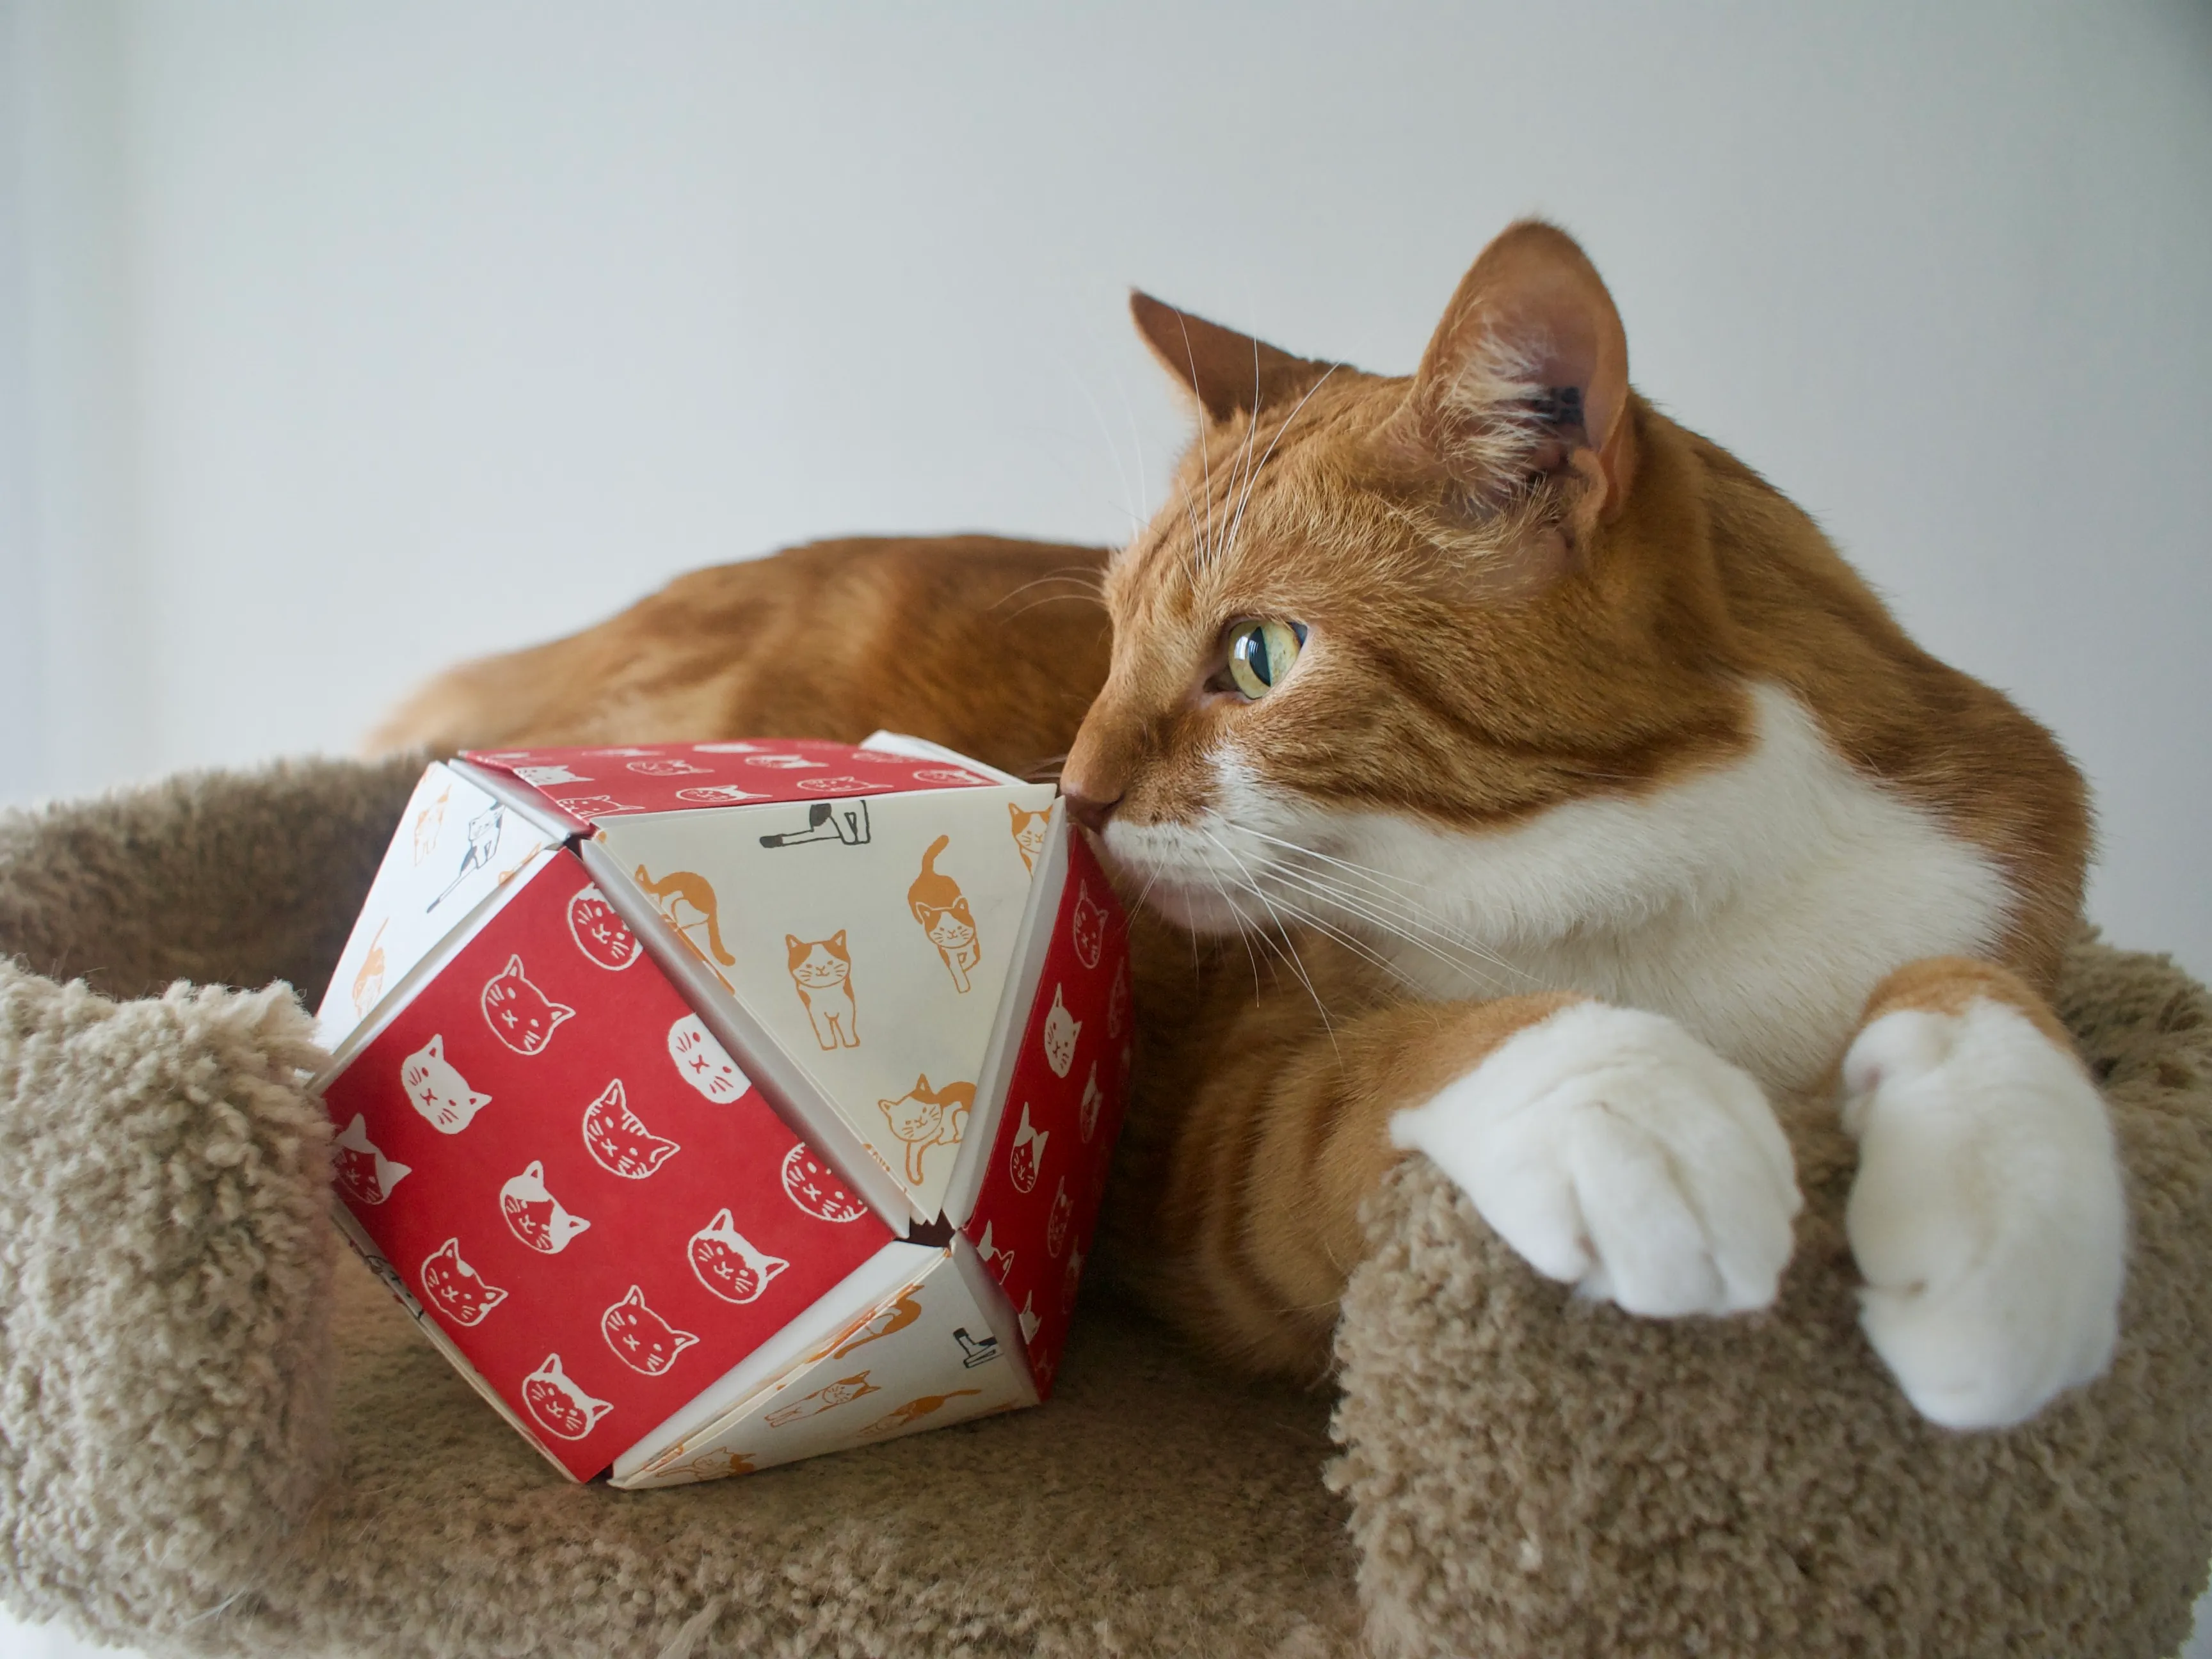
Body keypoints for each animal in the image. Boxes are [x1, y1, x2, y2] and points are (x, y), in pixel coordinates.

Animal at [371, 224, 2114, 1442]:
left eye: (1259, 656)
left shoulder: (2001, 882)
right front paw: (1638, 1103)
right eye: (1110, 636)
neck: (1661, 889)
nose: (1070, 796)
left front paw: (2010, 1224)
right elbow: (1419, 1052)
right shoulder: (1236, 1132)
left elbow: (1977, 996)